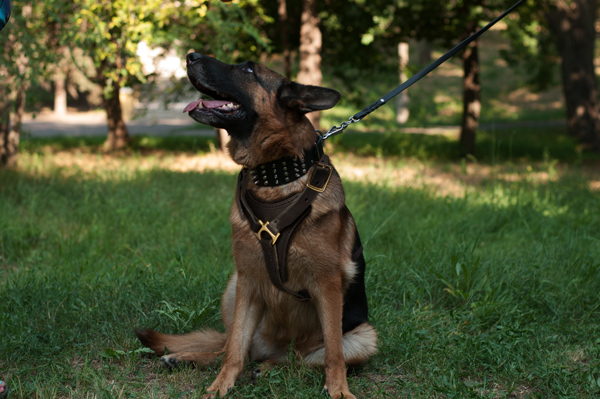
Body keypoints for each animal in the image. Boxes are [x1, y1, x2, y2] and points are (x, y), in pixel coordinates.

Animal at [138, 54, 378, 399]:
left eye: (248, 69)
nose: (191, 55)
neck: (274, 176)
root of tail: (275, 348)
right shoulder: (249, 281)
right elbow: (235, 350)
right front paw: (218, 388)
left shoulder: (327, 285)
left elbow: (334, 353)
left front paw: (339, 391)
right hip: (234, 286)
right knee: (232, 347)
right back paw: (189, 358)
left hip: (363, 336)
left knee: (300, 360)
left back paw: (268, 368)